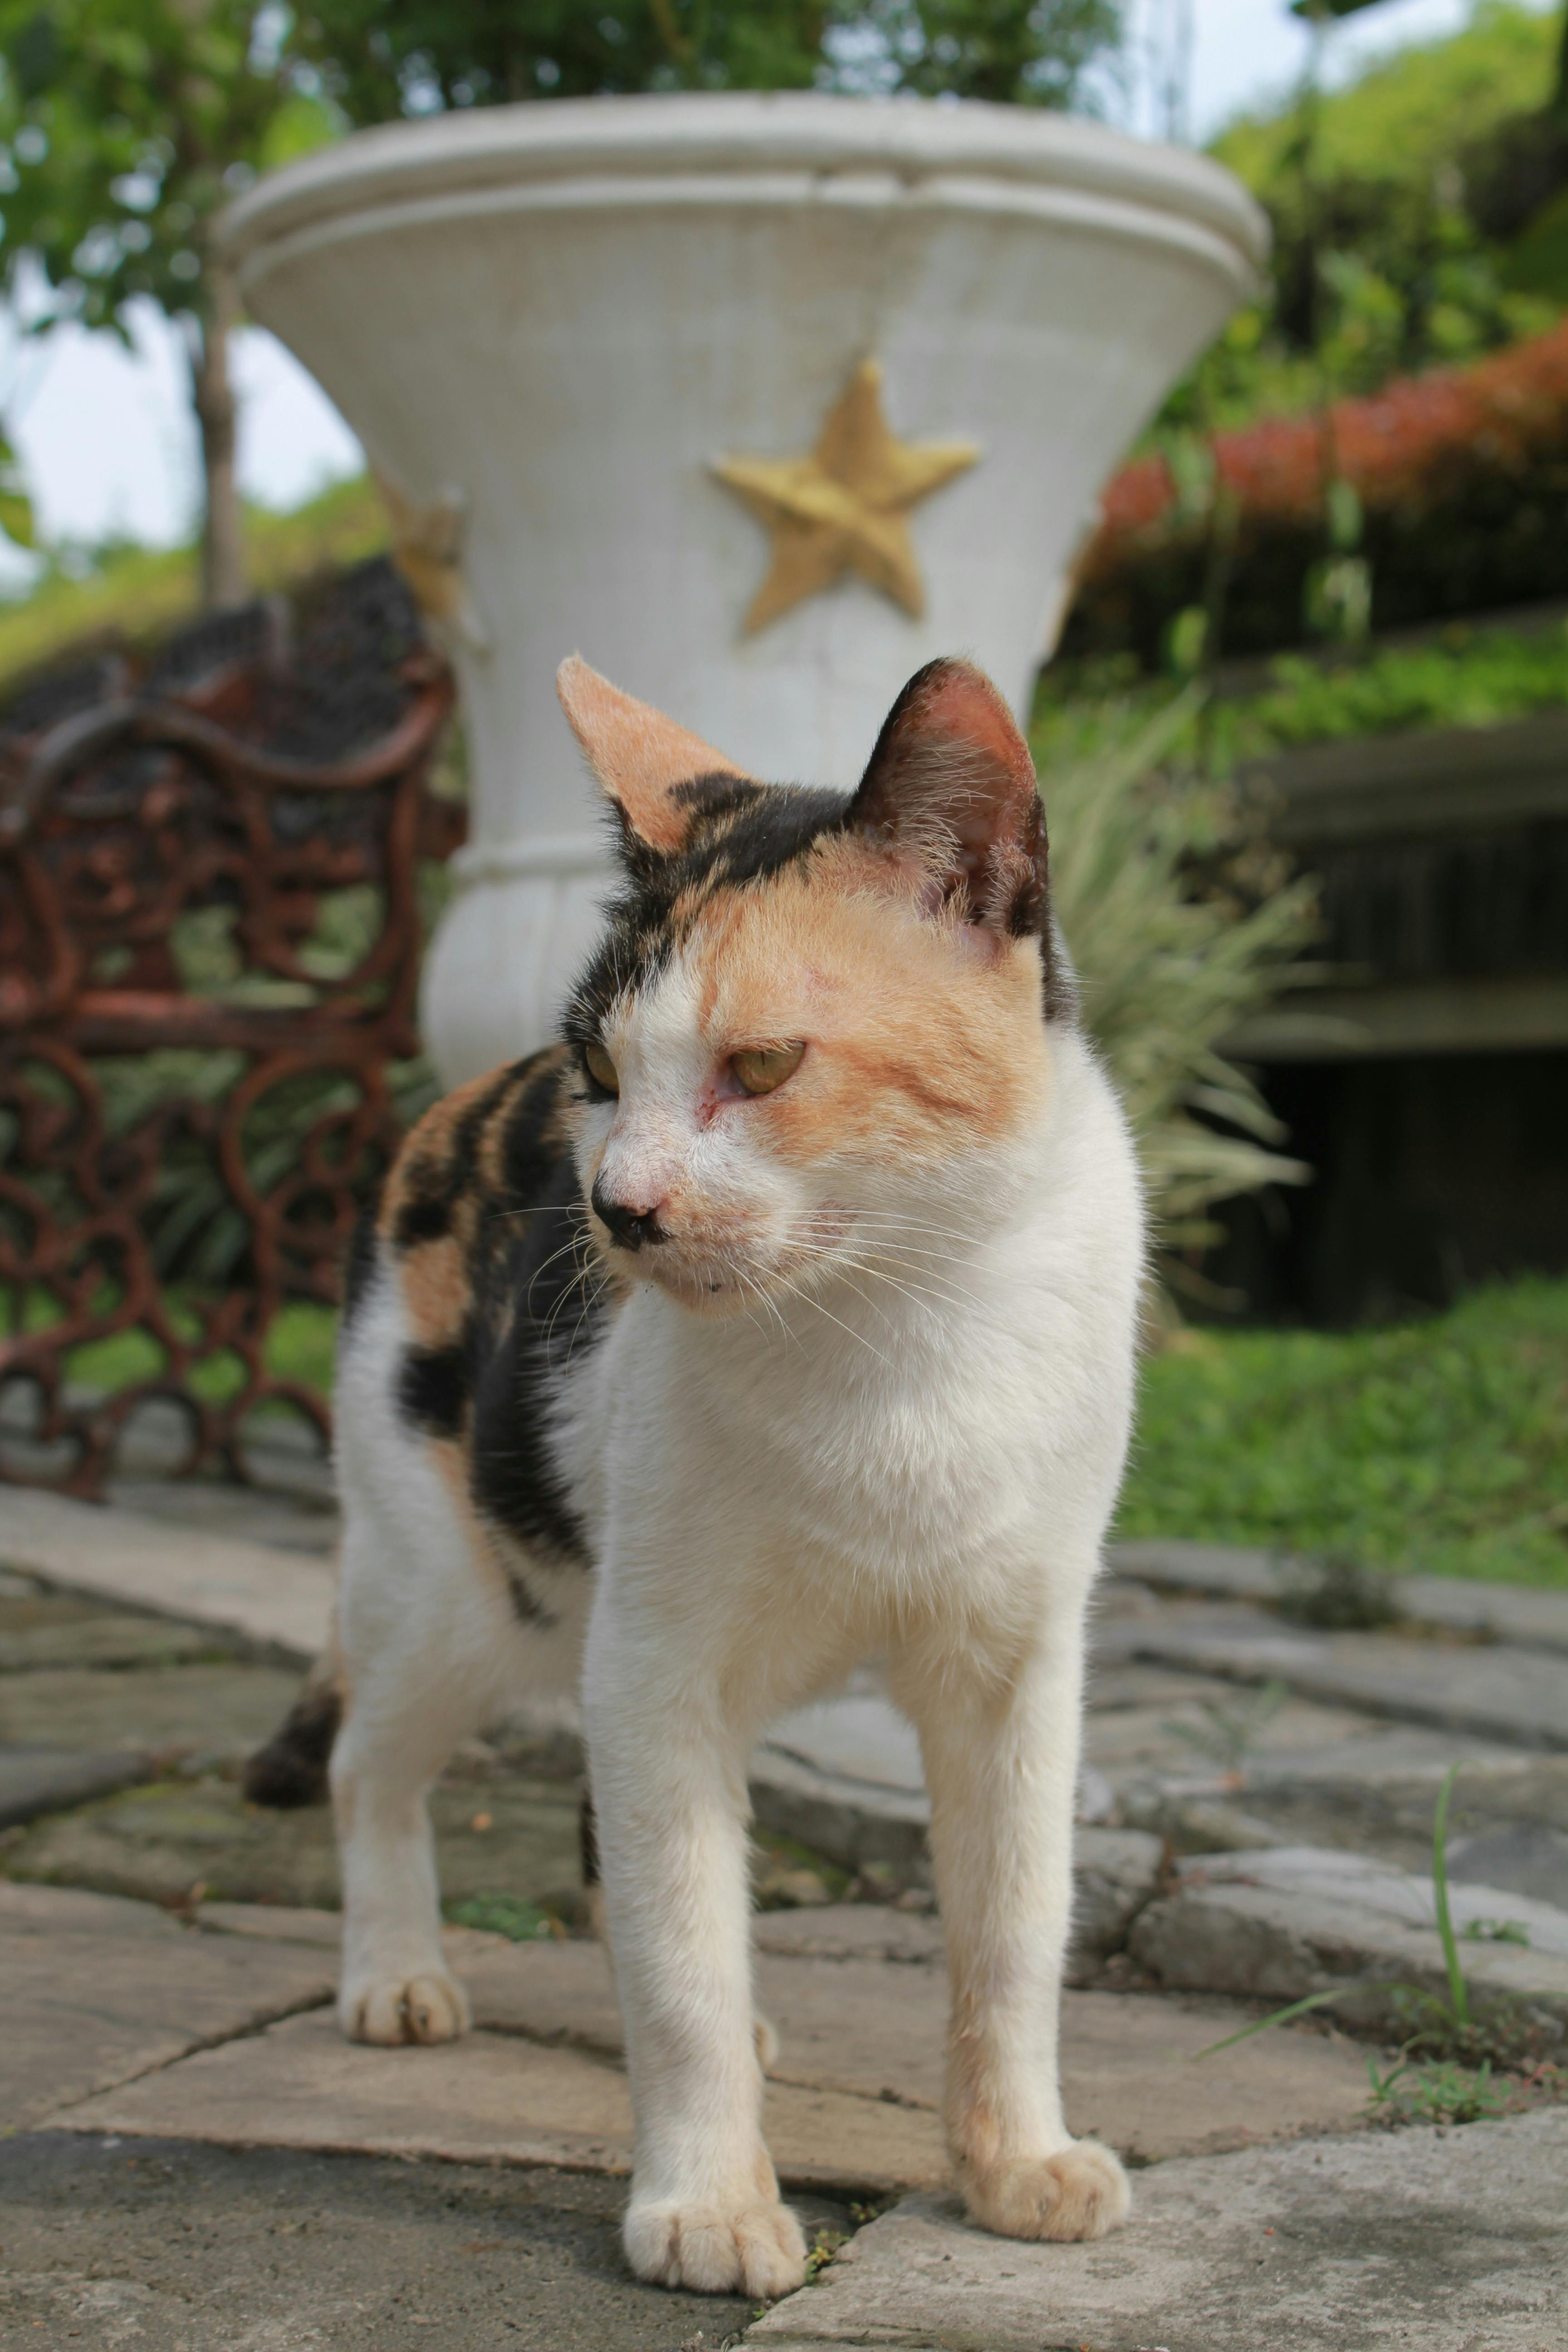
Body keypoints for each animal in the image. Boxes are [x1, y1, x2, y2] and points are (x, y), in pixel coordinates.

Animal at [251, 658, 1147, 2295]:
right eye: (603, 1074)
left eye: (764, 1064)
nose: (615, 1207)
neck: (898, 1335)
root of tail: (444, 1111)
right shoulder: (652, 1659)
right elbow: (677, 1958)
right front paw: (706, 2204)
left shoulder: (1019, 1667)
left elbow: (1010, 1929)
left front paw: (1015, 2163)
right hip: (461, 1597)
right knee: (367, 1766)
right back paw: (396, 1974)